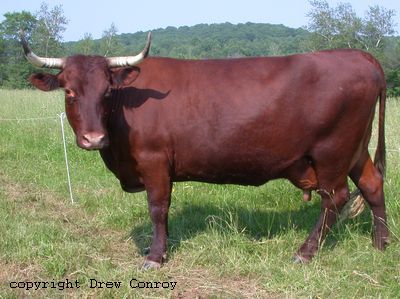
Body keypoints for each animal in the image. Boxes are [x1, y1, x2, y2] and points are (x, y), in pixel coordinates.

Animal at [20, 32, 390, 270]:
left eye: (107, 91)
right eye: (69, 91)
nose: (94, 138)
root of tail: (357, 55)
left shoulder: (154, 161)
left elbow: (158, 208)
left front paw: (155, 257)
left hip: (332, 152)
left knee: (335, 198)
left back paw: (305, 253)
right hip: (355, 150)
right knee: (372, 184)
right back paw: (382, 243)